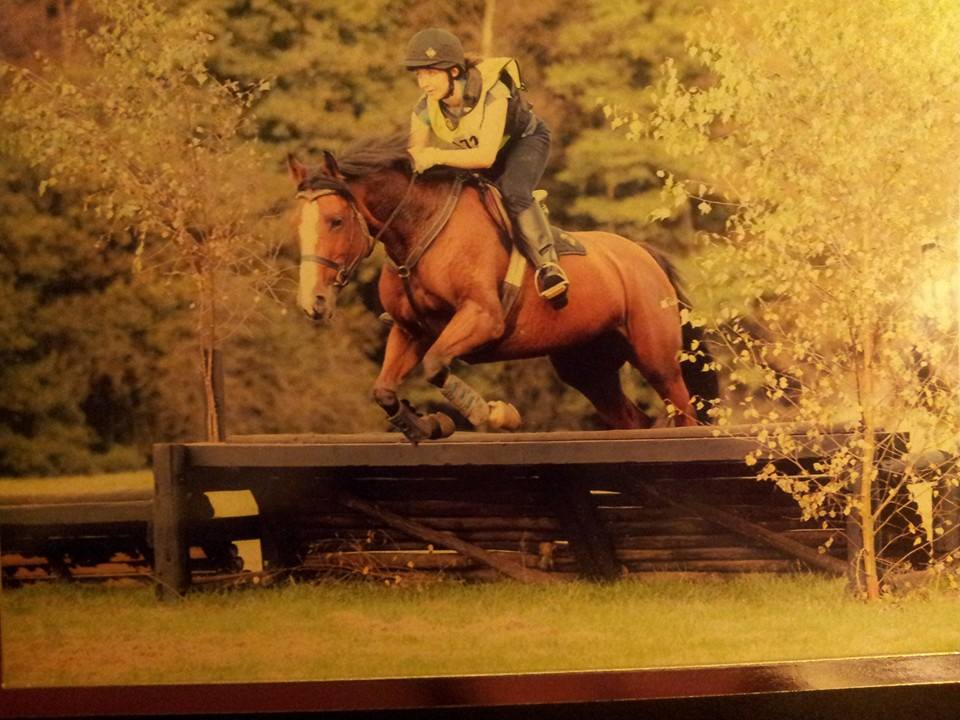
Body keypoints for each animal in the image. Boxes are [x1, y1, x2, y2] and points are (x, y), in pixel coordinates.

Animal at [287, 133, 715, 442]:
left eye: (336, 221)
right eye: (297, 225)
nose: (314, 303)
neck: (421, 230)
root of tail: (644, 256)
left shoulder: (481, 316)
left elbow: (436, 364)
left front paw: (493, 413)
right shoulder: (409, 331)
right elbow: (384, 390)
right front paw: (426, 424)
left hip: (657, 360)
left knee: (685, 415)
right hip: (586, 367)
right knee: (631, 418)